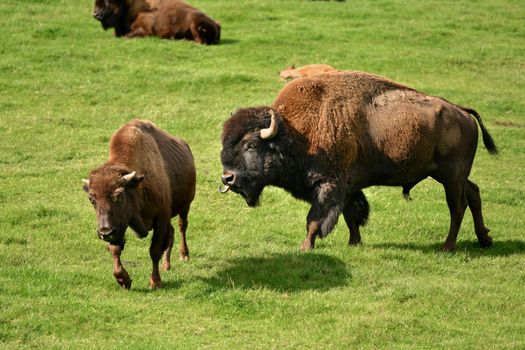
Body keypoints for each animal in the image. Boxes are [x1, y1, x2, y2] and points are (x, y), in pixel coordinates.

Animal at [81, 119, 195, 288]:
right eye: (91, 199)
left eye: (119, 195)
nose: (104, 232)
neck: (136, 187)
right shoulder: (119, 226)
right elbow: (115, 249)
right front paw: (123, 280)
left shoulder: (160, 218)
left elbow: (154, 250)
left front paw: (155, 282)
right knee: (172, 232)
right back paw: (166, 265)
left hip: (186, 205)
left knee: (182, 226)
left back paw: (184, 256)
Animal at [219, 70, 498, 252]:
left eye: (250, 145)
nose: (227, 178)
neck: (295, 133)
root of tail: (462, 111)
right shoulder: (349, 187)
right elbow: (351, 215)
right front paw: (354, 242)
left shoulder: (328, 187)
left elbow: (315, 219)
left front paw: (305, 247)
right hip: (451, 175)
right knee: (474, 193)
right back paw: (484, 239)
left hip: (451, 177)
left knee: (457, 206)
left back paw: (448, 247)